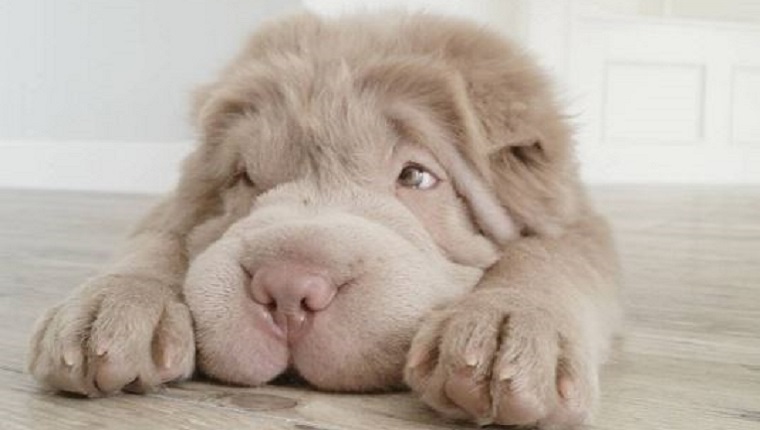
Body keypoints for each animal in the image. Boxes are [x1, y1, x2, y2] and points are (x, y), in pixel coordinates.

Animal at [31, 11, 624, 428]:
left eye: (416, 177)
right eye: (246, 176)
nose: (287, 289)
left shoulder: (577, 221)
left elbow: (549, 255)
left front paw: (507, 330)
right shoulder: (176, 209)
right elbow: (158, 239)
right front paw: (108, 310)